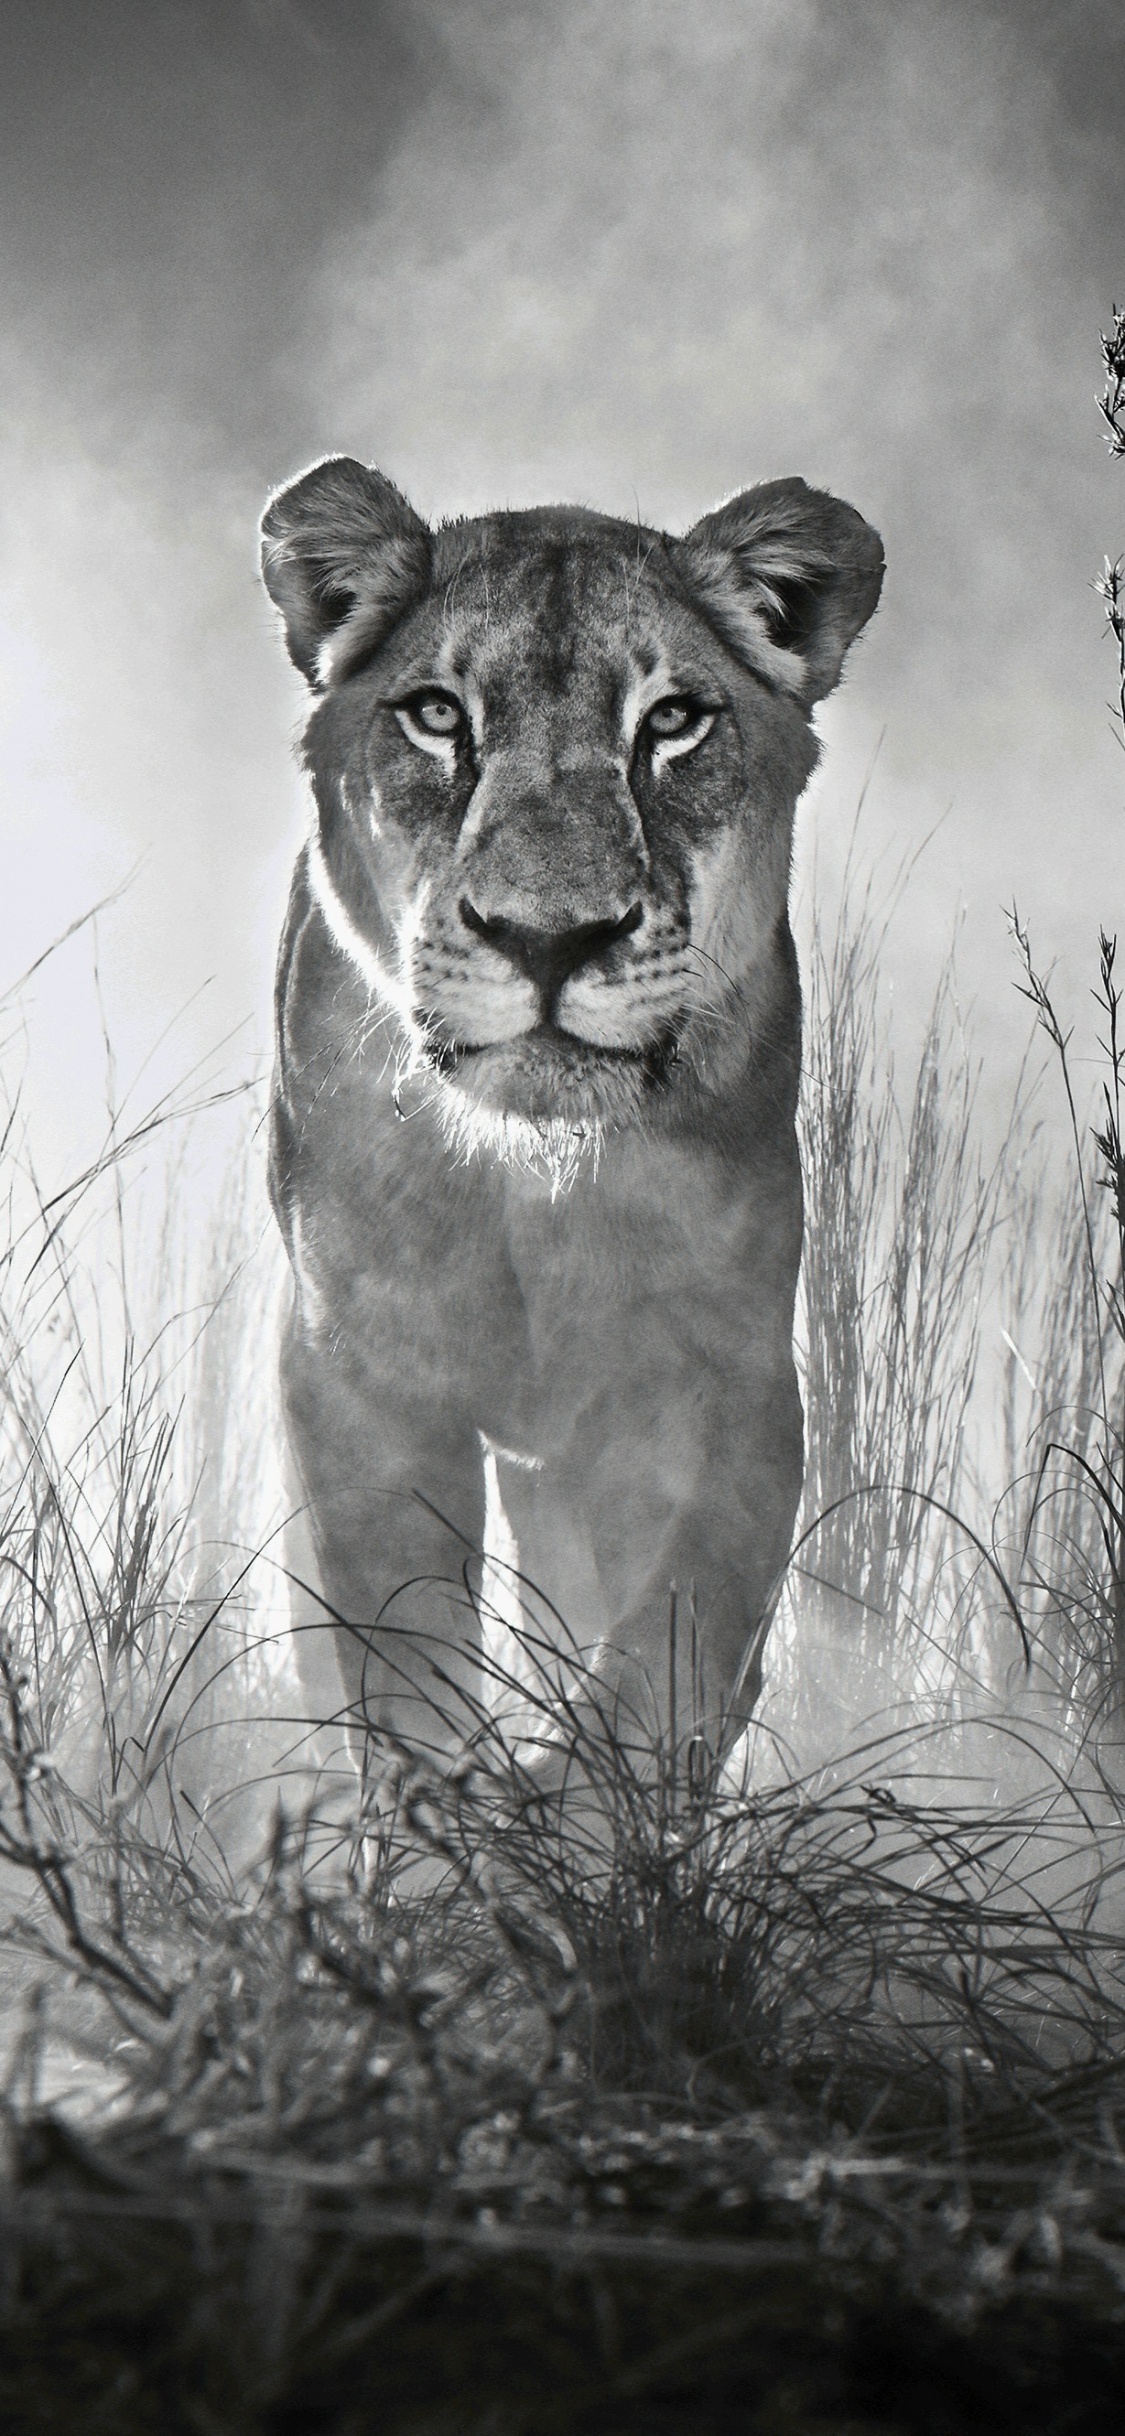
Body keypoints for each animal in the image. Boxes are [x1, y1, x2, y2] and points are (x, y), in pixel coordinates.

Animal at [260, 459, 883, 1778]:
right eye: (436, 715)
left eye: (674, 721)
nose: (549, 939)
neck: (533, 1188)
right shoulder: (358, 1374)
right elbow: (404, 1654)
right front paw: (451, 1818)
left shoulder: (726, 1381)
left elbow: (667, 1655)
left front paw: (580, 1810)